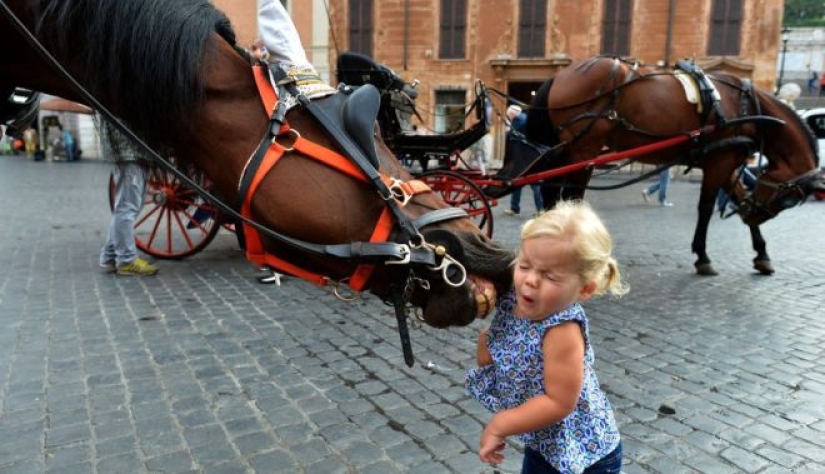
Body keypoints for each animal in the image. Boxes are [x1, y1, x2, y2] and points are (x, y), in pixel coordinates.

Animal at [528, 56, 824, 274]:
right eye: (788, 199)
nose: (752, 215)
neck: (747, 107)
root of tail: (560, 75)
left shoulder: (726, 161)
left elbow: (738, 197)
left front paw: (762, 253)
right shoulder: (720, 163)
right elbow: (705, 208)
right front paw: (703, 257)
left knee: (552, 192)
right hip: (583, 150)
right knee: (570, 197)